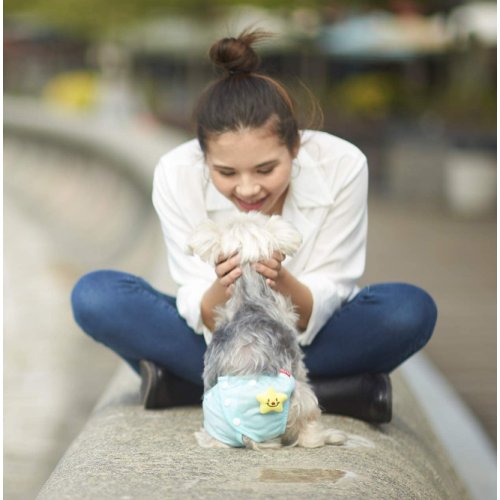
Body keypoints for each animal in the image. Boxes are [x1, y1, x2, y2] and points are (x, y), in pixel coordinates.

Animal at [185, 211, 348, 450]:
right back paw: (331, 436)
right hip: (300, 396)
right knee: (309, 433)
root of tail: (247, 435)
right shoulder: (297, 361)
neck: (249, 299)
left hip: (215, 425)